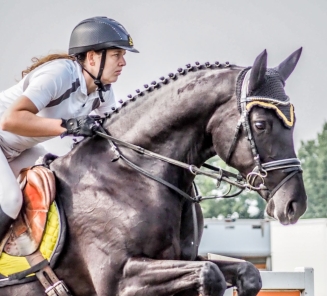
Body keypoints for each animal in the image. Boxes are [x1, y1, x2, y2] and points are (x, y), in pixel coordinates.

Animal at [3, 49, 308, 294]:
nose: (295, 205)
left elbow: (247, 272)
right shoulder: (119, 279)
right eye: (260, 125)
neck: (131, 173)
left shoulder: (185, 258)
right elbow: (211, 276)